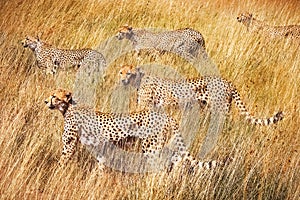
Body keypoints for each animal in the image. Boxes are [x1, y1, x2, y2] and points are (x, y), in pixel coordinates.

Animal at [118, 65, 284, 126]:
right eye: (121, 72)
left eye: (129, 73)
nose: (122, 80)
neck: (138, 79)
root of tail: (228, 81)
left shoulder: (145, 107)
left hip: (220, 109)